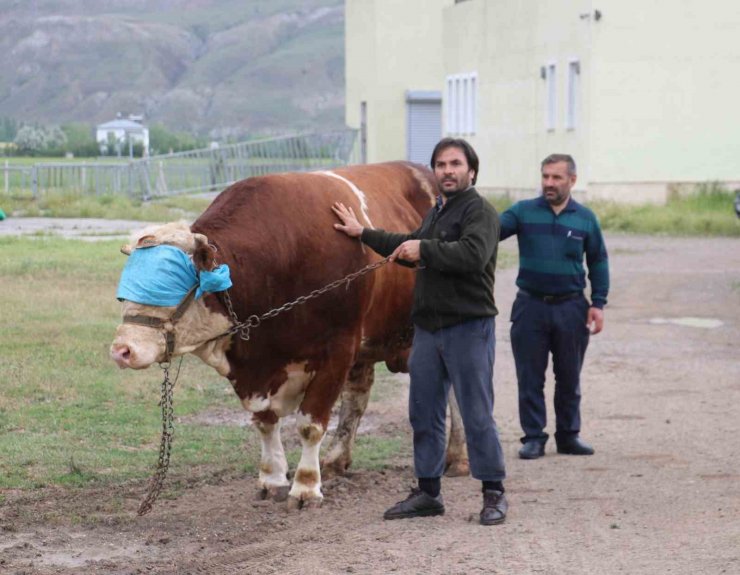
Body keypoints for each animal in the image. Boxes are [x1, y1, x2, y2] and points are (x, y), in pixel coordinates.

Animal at [108, 162, 468, 508]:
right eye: (124, 293)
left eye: (168, 286)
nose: (122, 350)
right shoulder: (253, 368)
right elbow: (265, 421)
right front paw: (272, 479)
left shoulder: (337, 350)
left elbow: (310, 424)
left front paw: (306, 486)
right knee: (357, 397)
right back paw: (336, 460)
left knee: (455, 390)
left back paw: (458, 457)